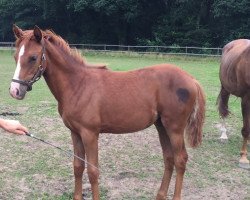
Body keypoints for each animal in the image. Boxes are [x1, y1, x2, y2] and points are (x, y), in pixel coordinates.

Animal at [9, 25, 205, 200]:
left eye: (33, 57)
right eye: (15, 57)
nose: (15, 91)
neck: (77, 84)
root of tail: (191, 79)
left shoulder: (90, 134)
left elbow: (93, 171)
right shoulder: (75, 133)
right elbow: (78, 166)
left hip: (175, 128)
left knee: (180, 160)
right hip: (161, 126)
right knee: (169, 158)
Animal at [217, 38, 250, 169]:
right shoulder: (246, 99)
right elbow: (246, 129)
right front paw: (243, 158)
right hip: (225, 89)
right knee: (223, 110)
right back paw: (223, 135)